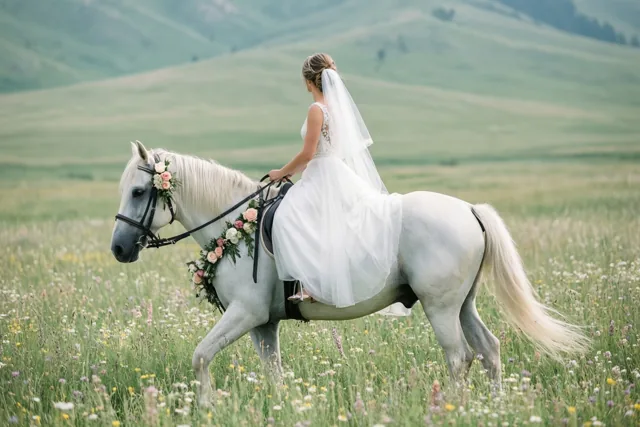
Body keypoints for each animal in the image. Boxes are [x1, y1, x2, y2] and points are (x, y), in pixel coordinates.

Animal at [111, 140, 589, 407]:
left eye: (138, 191)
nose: (118, 249)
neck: (234, 227)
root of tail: (470, 209)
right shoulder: (263, 324)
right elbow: (274, 374)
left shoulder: (244, 315)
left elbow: (200, 356)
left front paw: (207, 407)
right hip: (463, 303)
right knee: (488, 351)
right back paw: (494, 408)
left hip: (440, 307)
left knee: (459, 358)